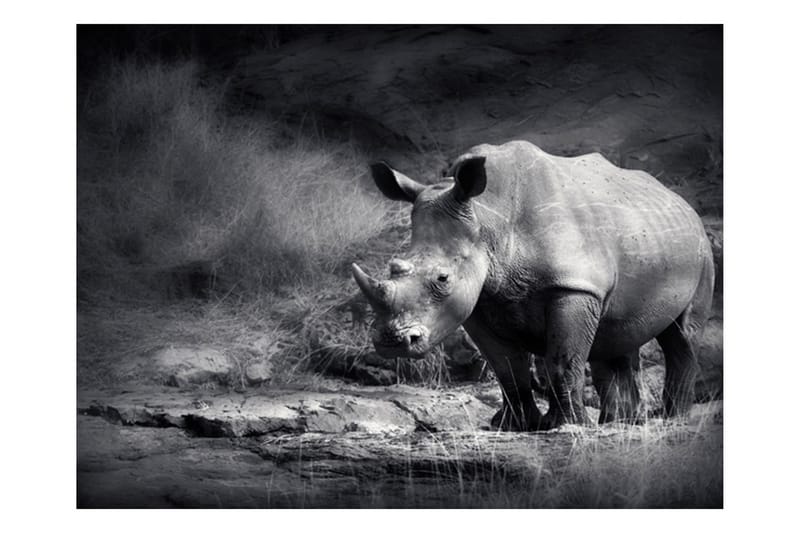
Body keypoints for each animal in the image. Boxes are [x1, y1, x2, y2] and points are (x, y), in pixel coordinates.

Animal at [352, 141, 714, 430]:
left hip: (700, 249)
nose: (392, 342)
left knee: (680, 336)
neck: (489, 219)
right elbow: (508, 370)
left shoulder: (573, 286)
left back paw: (672, 420)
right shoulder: (480, 302)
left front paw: (567, 426)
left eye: (443, 279)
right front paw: (514, 426)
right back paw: (620, 423)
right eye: (393, 267)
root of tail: (680, 201)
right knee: (616, 336)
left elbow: (562, 361)